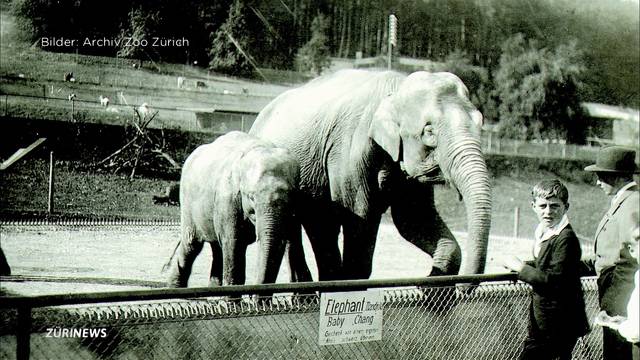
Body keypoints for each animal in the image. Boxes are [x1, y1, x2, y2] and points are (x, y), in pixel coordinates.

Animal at [250, 69, 490, 280]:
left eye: (481, 124)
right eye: (429, 131)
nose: (463, 288)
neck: (396, 90)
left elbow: (413, 219)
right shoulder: (349, 153)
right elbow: (360, 218)